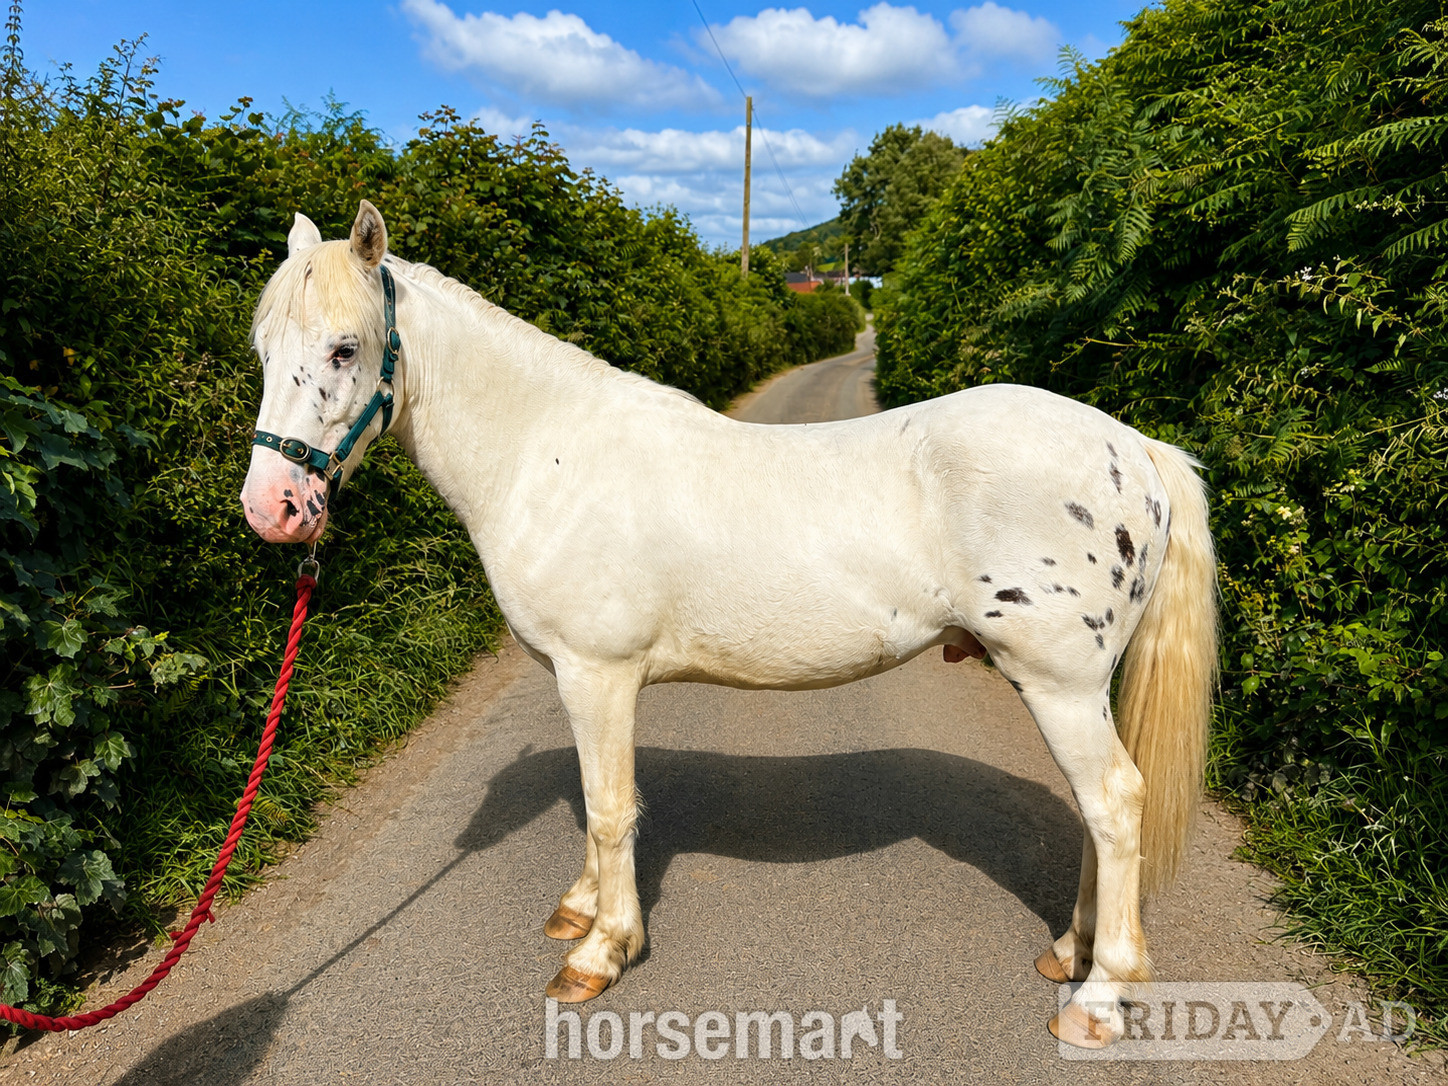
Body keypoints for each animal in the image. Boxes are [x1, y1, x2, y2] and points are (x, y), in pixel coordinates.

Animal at [240, 201, 1217, 1049]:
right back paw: (1069, 953)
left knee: (1116, 804)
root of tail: (1135, 448)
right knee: (1097, 812)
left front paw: (601, 952)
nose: (274, 508)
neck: (547, 454)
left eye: (344, 347)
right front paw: (581, 909)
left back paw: (1100, 997)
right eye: (263, 347)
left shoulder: (599, 672)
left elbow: (609, 809)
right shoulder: (576, 676)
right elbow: (597, 804)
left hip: (1059, 684)